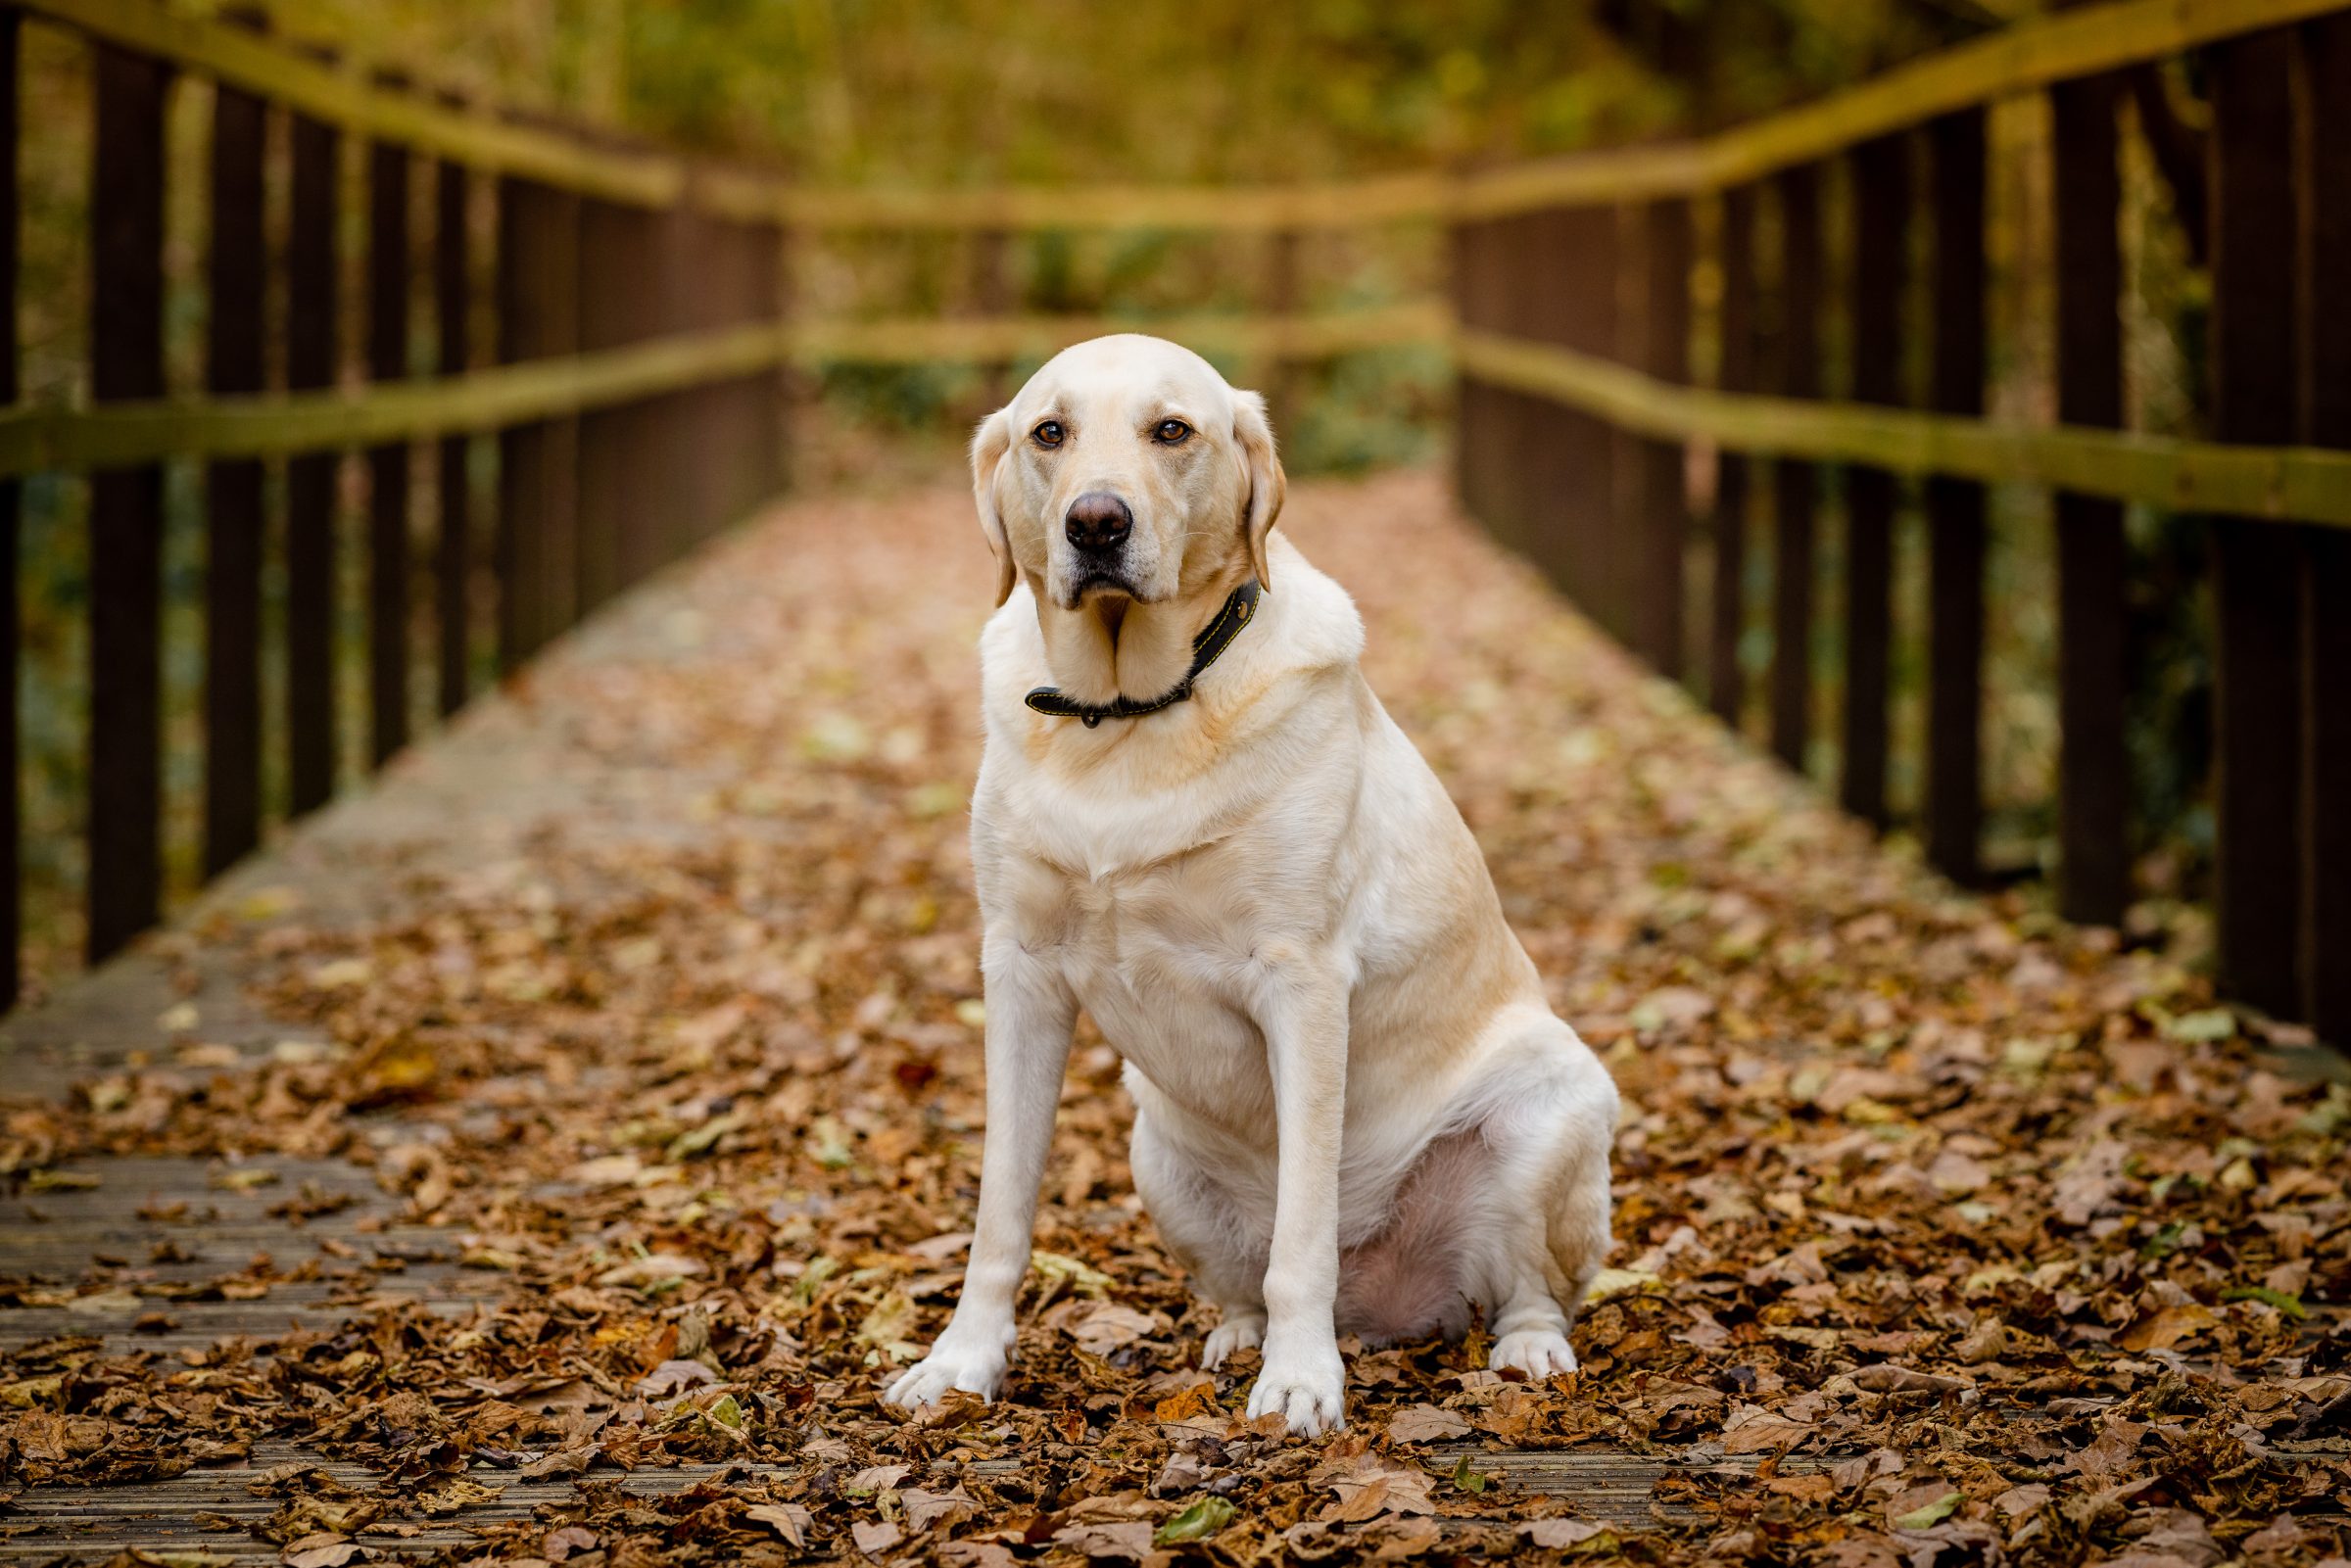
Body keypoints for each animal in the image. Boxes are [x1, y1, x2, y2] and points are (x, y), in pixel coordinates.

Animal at [884, 338, 1617, 1438]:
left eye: (1171, 430)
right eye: (1049, 432)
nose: (1095, 522)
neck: (1128, 713)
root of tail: (1385, 1308)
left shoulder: (1302, 982)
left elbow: (1302, 1238)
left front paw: (1302, 1380)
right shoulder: (1017, 971)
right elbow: (1000, 1214)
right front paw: (961, 1362)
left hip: (1552, 1109)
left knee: (1529, 1287)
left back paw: (1524, 1350)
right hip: (1158, 1148)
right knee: (1237, 1280)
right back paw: (1235, 1337)